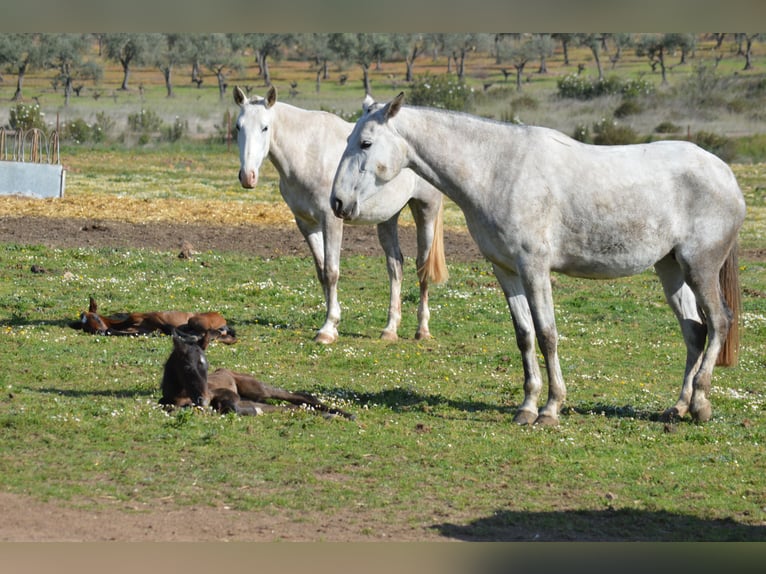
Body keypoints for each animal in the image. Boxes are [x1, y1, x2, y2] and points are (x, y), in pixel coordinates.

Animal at [161, 330, 356, 420]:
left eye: (206, 366)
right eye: (187, 367)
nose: (204, 400)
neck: (181, 396)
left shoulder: (224, 393)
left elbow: (232, 406)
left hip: (257, 389)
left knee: (300, 397)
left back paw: (346, 414)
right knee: (292, 406)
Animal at [234, 88, 450, 344]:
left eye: (265, 127)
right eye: (238, 127)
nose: (247, 177)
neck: (309, 153)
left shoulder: (331, 220)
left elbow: (332, 272)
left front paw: (328, 329)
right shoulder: (306, 224)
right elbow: (321, 272)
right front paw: (333, 324)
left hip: (426, 210)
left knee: (422, 267)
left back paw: (422, 330)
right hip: (388, 218)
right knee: (395, 266)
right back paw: (390, 329)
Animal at [332, 93, 748, 428]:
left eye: (366, 143)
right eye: (349, 140)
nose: (338, 202)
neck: (497, 170)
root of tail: (725, 173)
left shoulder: (535, 269)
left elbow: (547, 335)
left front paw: (551, 408)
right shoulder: (506, 271)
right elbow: (525, 335)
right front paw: (528, 406)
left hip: (700, 267)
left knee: (718, 322)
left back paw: (700, 403)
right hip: (671, 268)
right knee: (694, 331)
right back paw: (678, 407)